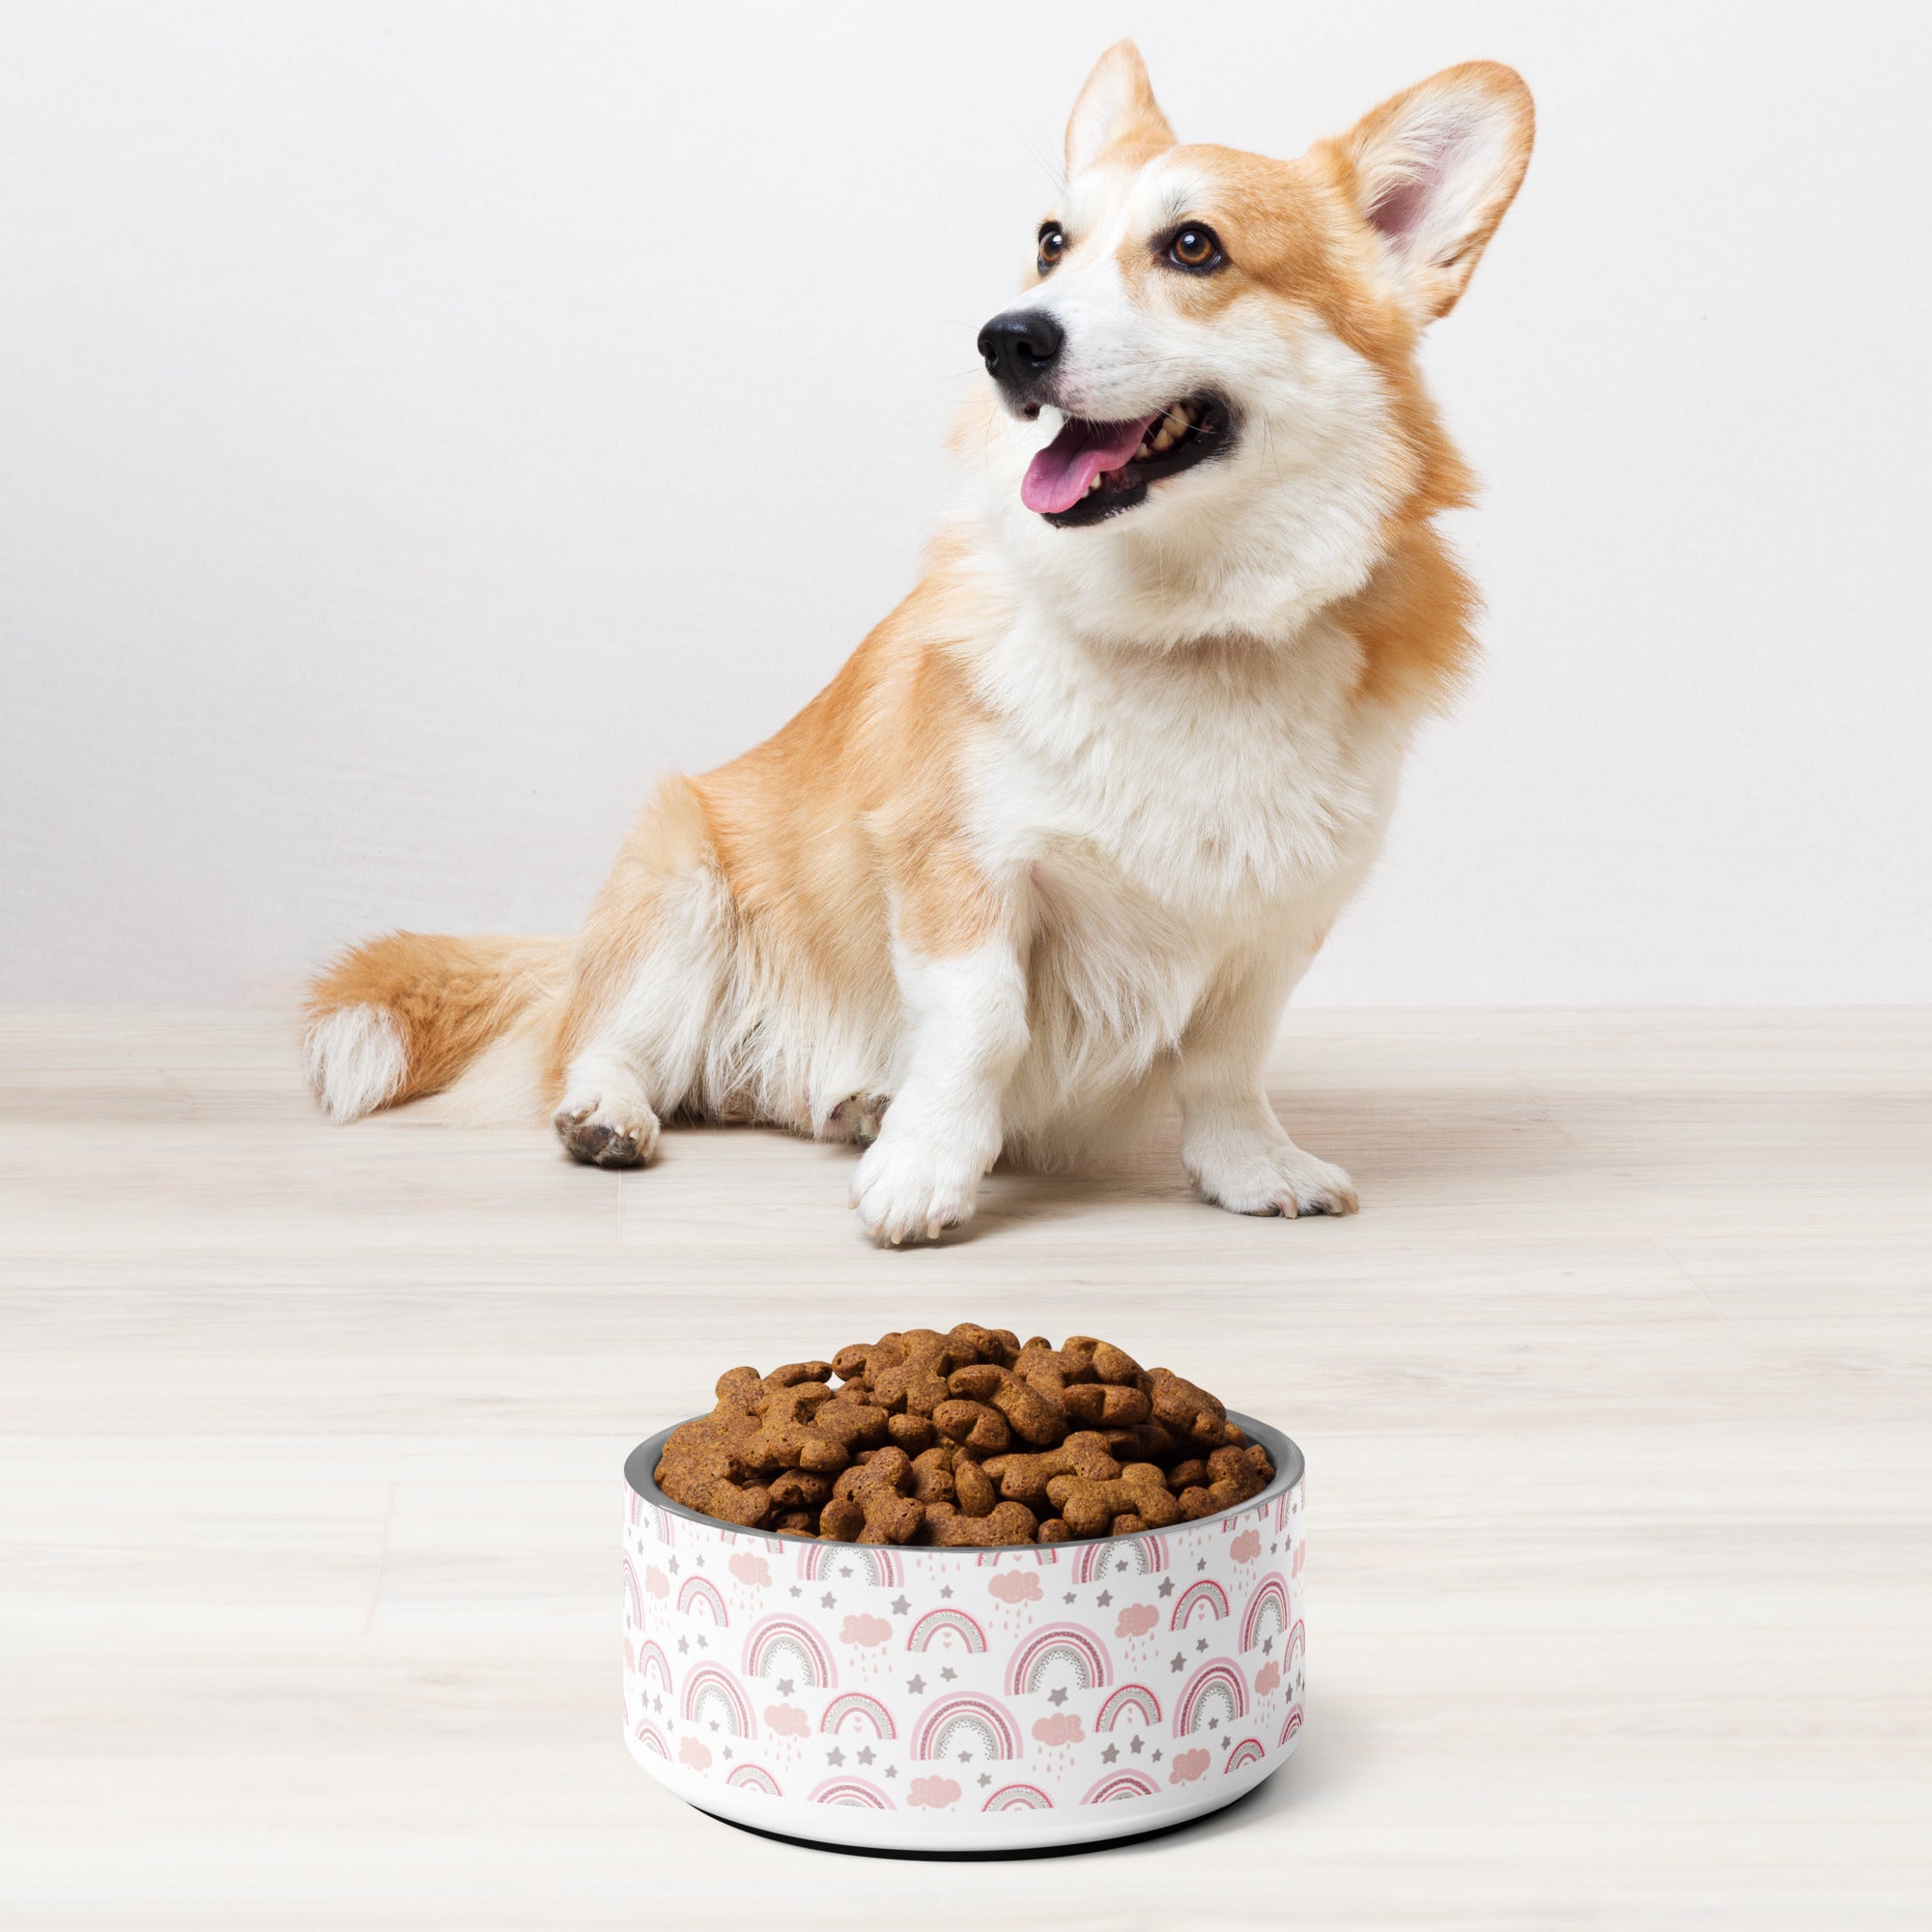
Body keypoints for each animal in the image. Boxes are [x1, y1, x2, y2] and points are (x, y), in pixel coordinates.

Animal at [309, 48, 1530, 1252]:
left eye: (1194, 246)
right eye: (1050, 242)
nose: (1007, 338)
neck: (1182, 626)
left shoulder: (1272, 922)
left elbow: (1225, 1063)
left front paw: (1251, 1166)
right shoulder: (959, 864)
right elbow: (982, 1023)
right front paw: (927, 1168)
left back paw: (855, 1103)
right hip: (681, 887)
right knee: (604, 1044)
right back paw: (616, 1112)